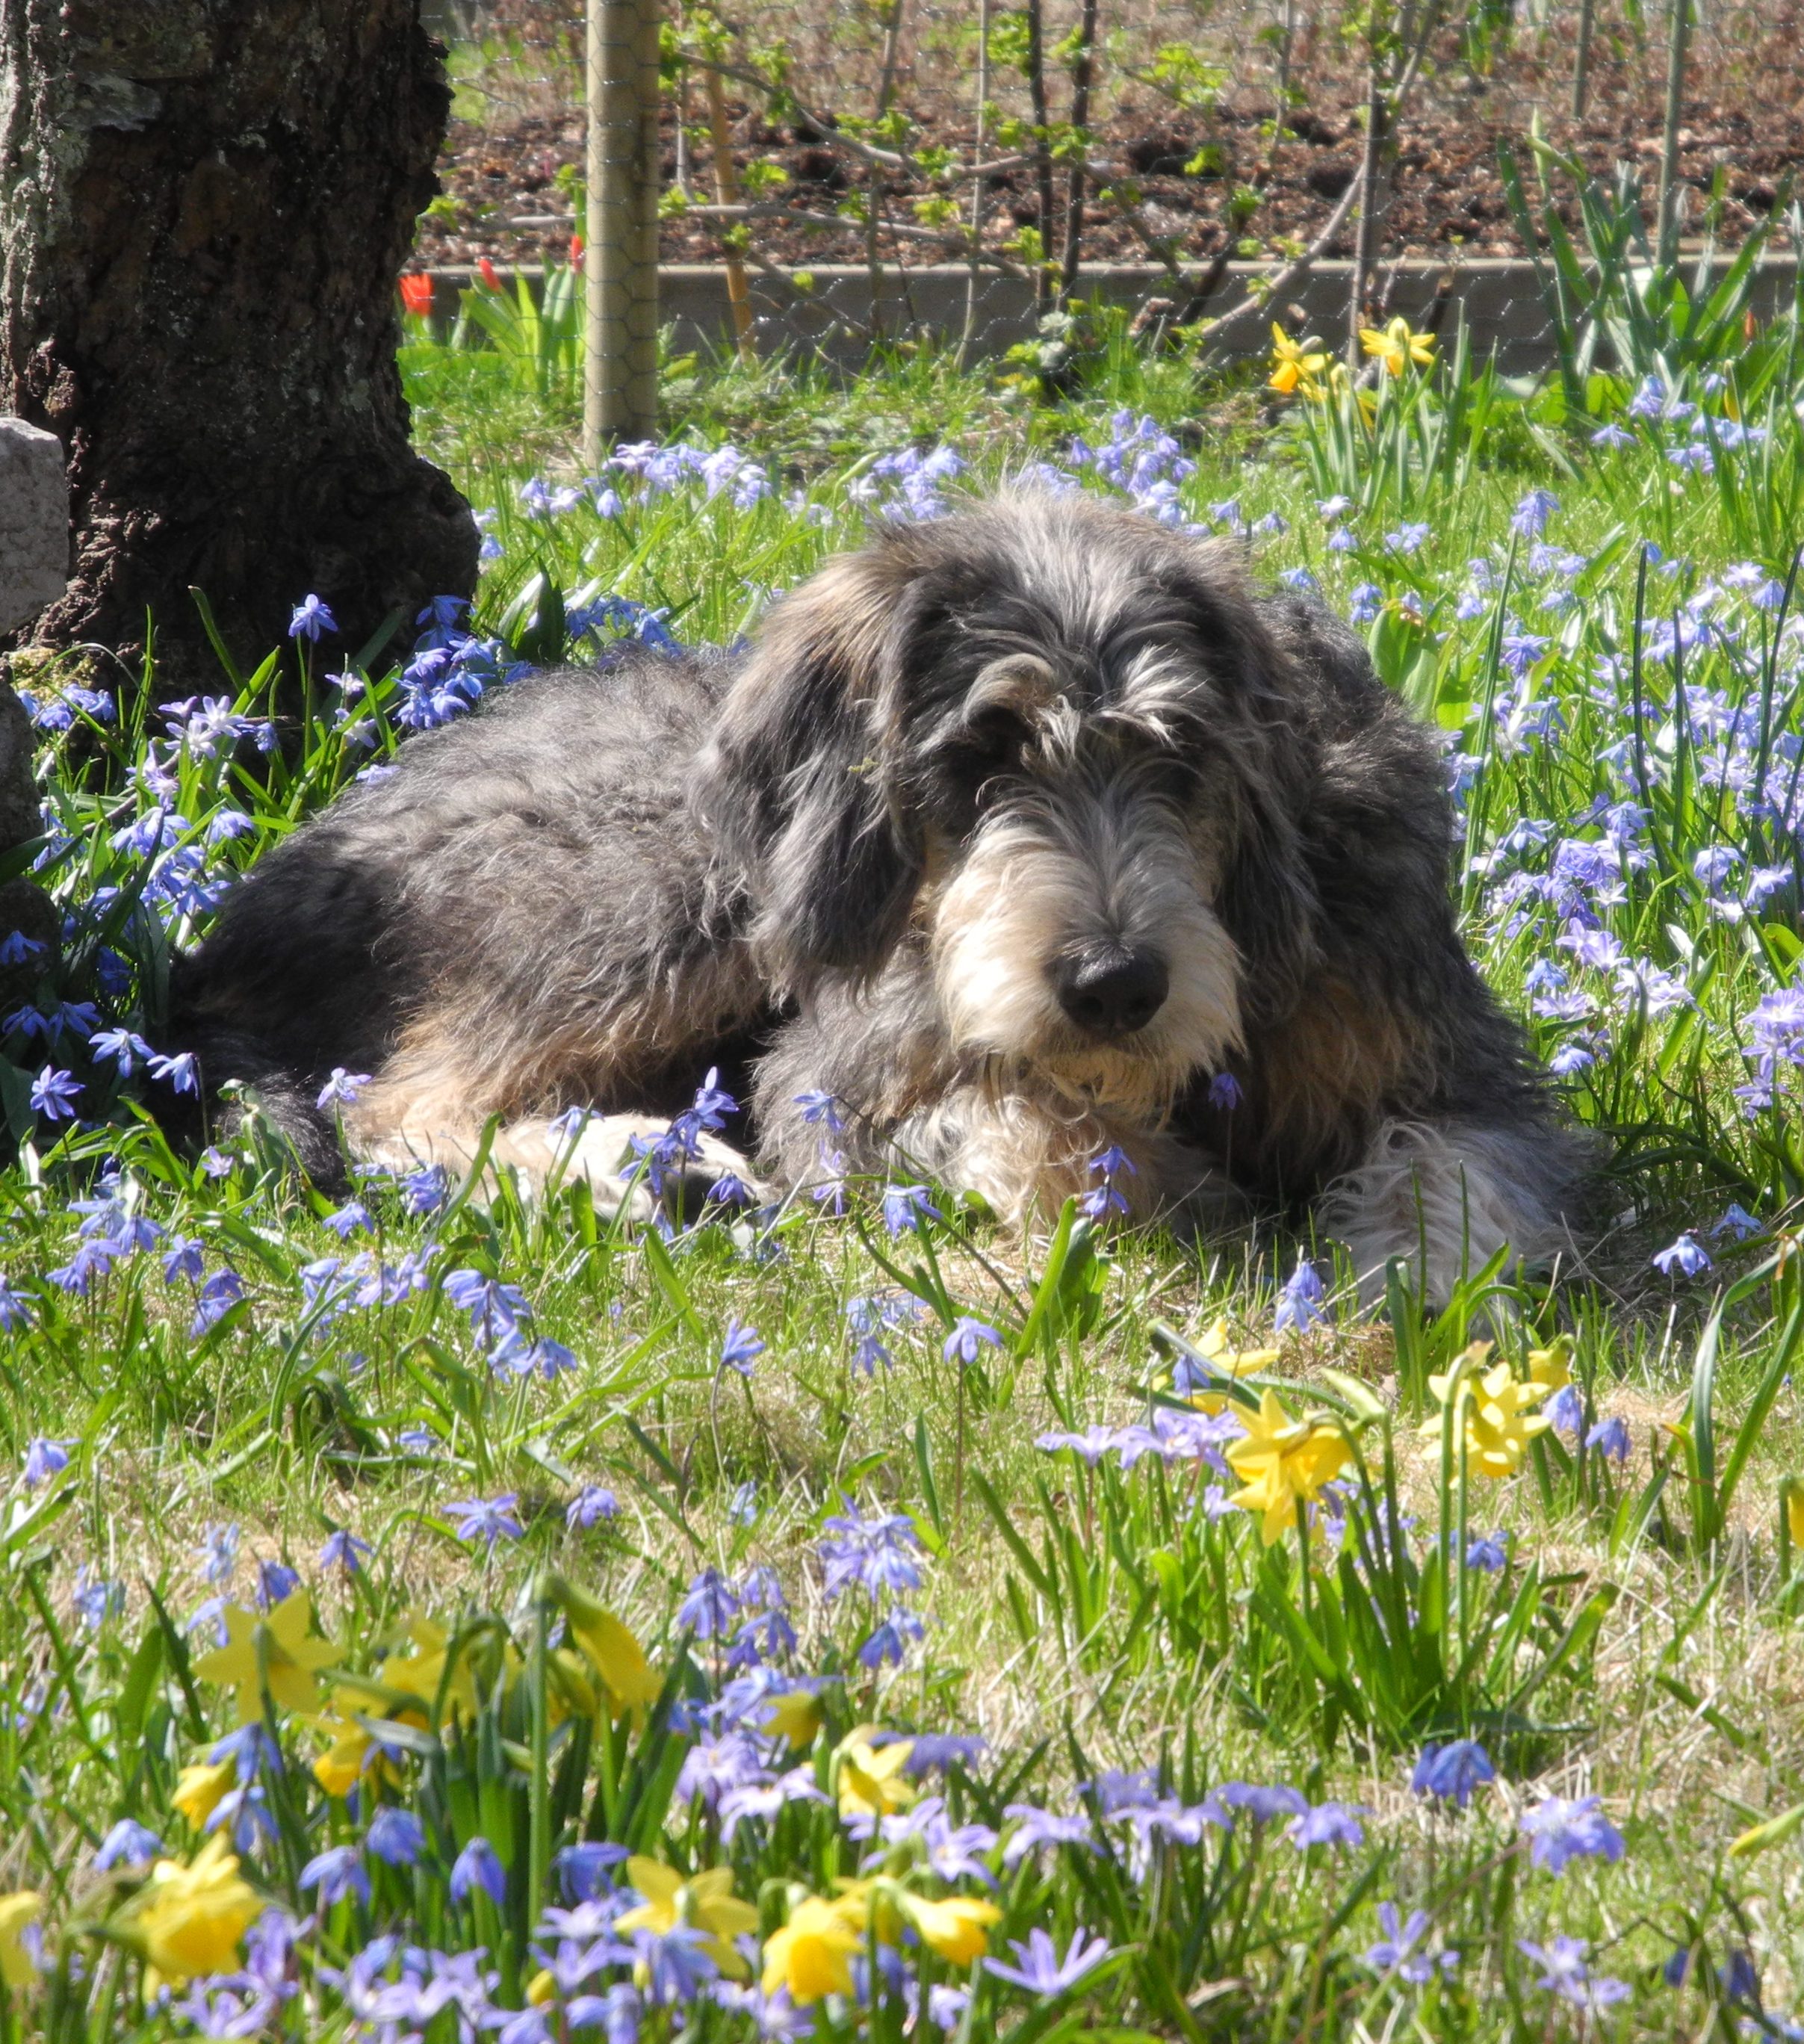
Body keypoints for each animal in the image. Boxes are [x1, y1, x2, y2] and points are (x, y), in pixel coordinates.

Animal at [170, 488, 1577, 1300]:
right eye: (979, 757)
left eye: (1181, 757)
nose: (1114, 984)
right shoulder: (833, 1075)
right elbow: (1035, 1135)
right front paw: (1162, 1188)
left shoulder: (1438, 1053)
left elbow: (1467, 1171)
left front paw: (1406, 1284)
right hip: (667, 892)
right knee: (393, 1101)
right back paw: (629, 1159)